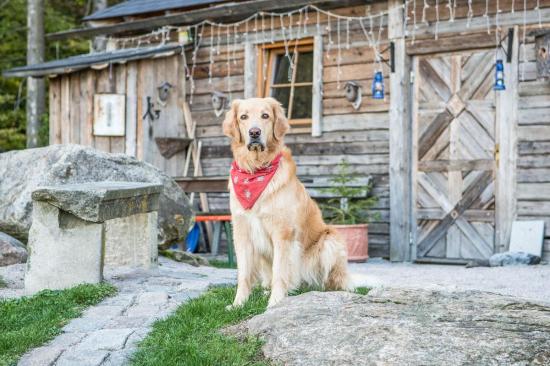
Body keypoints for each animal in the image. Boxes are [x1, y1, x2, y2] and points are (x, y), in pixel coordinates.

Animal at [224, 98, 354, 308]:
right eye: (243, 117)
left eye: (265, 115)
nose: (254, 132)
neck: (256, 169)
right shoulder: (242, 232)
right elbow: (243, 274)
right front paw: (238, 304)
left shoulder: (283, 233)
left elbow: (280, 271)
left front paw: (275, 302)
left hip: (330, 240)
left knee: (330, 281)